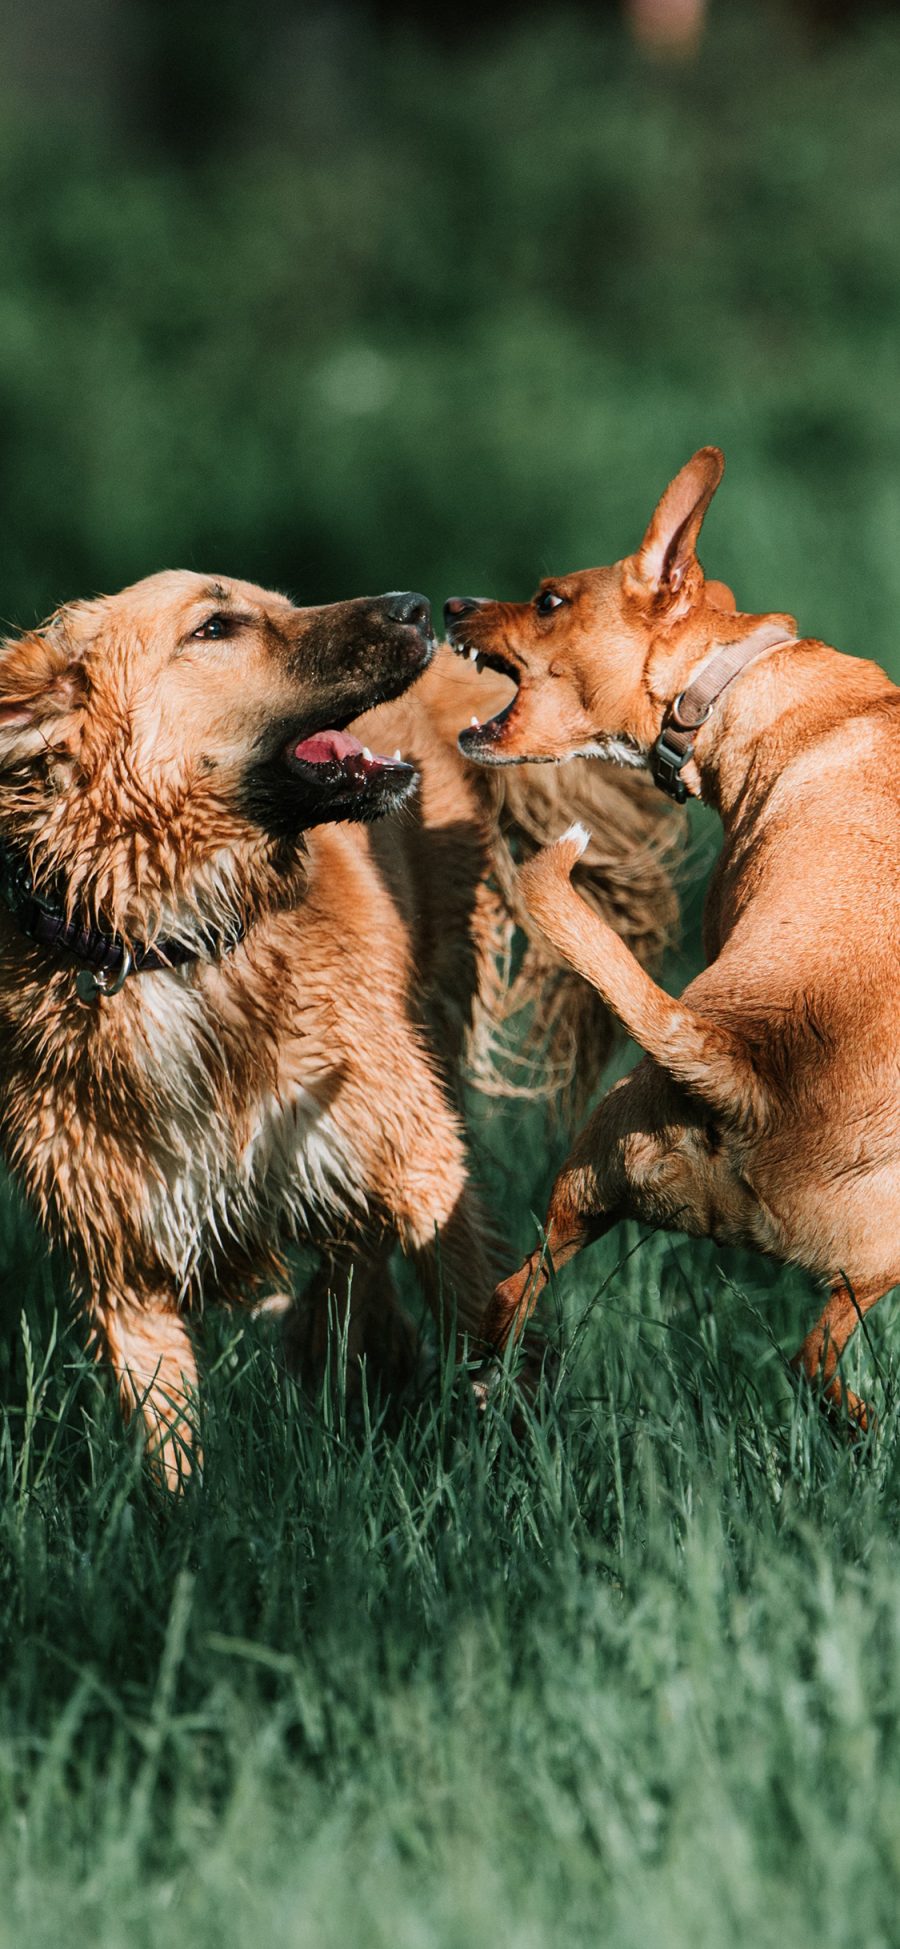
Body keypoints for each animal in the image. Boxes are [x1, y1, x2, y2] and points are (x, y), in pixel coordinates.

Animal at [0, 569, 674, 1481]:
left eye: (279, 602)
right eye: (216, 626)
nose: (418, 607)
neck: (180, 947)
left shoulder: (422, 1162)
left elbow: (482, 1318)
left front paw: (513, 1455)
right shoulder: (122, 1267)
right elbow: (172, 1454)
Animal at [446, 452, 900, 1434]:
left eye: (547, 599)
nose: (452, 602)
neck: (734, 677)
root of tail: (737, 1064)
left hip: (588, 1182)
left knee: (511, 1293)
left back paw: (491, 1396)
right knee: (816, 1360)